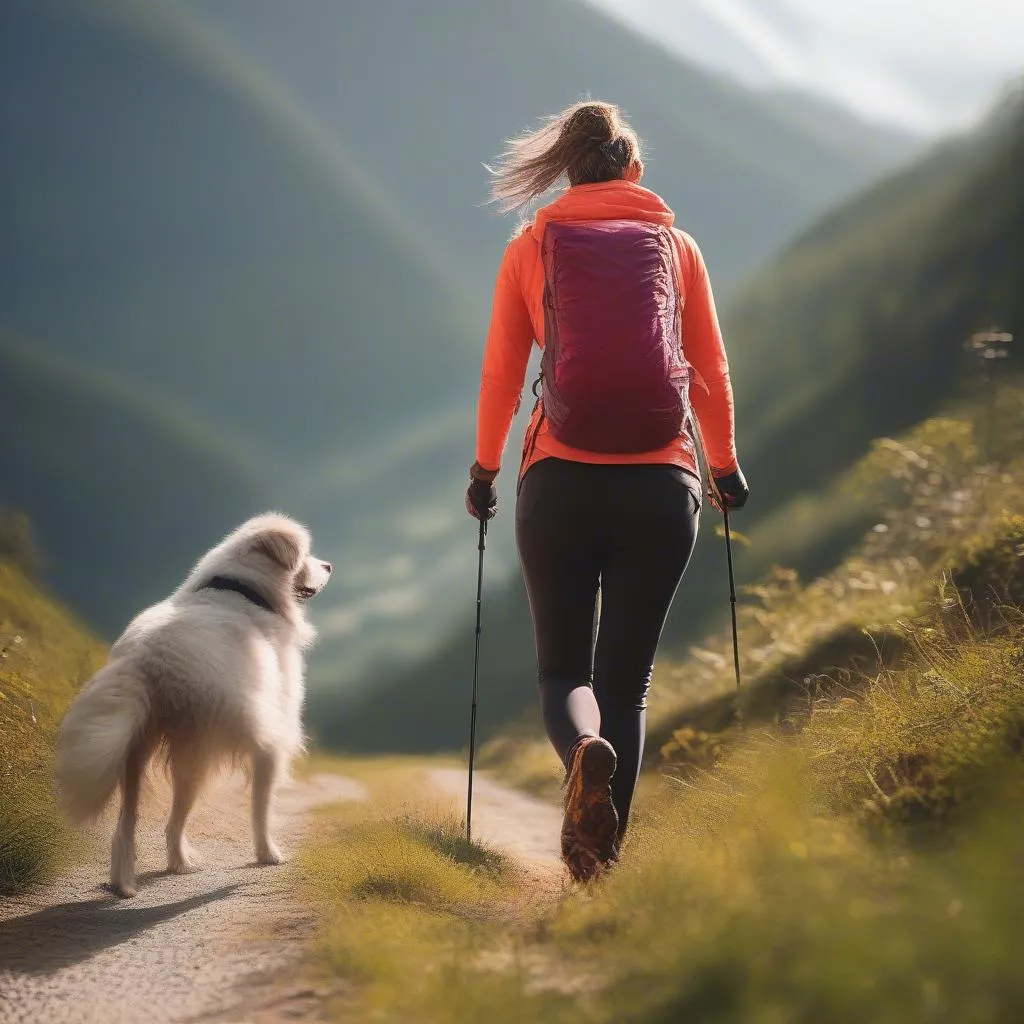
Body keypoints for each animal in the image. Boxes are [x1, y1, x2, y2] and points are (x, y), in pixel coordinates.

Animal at [54, 512, 331, 897]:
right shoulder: (275, 724)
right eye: (306, 555)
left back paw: (133, 879)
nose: (329, 566)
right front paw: (268, 856)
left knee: (133, 821)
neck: (241, 589)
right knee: (206, 811)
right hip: (208, 745)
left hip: (142, 751)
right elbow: (261, 803)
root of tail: (146, 659)